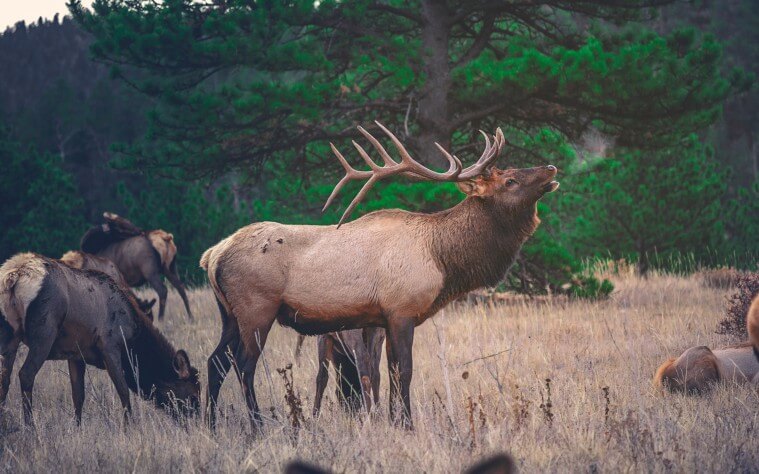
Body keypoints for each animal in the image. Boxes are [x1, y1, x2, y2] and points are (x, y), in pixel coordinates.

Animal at [0, 253, 201, 426]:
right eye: (193, 395)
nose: (197, 423)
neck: (133, 339)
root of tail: (14, 276)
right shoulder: (110, 346)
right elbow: (124, 391)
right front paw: (129, 428)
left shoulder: (75, 354)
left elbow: (78, 395)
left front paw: (78, 428)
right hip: (44, 331)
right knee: (26, 374)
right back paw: (30, 427)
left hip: (10, 335)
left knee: (4, 379)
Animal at [201, 122, 559, 429]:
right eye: (509, 180)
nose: (551, 169)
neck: (442, 259)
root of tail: (212, 255)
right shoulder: (401, 310)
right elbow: (405, 371)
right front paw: (408, 425)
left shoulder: (382, 318)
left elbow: (388, 372)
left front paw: (393, 421)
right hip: (257, 308)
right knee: (243, 366)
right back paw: (257, 426)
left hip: (229, 314)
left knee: (215, 362)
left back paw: (211, 424)